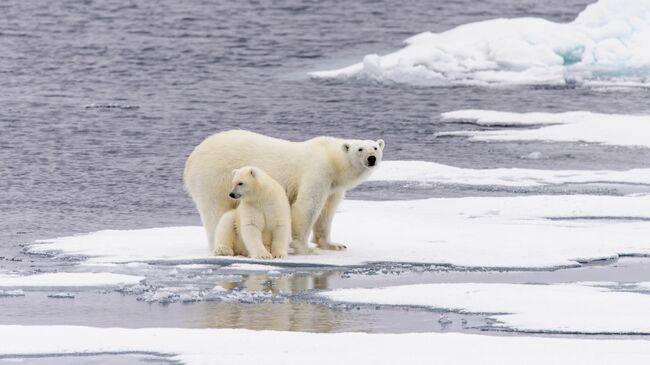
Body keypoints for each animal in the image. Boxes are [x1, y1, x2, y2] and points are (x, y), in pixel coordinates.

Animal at [184, 130, 384, 253]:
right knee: (215, 211)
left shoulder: (333, 186)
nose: (372, 158)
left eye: (375, 147)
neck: (331, 158)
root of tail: (191, 159)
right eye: (360, 149)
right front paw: (304, 248)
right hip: (215, 178)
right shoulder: (317, 171)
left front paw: (333, 245)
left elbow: (327, 212)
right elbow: (307, 206)